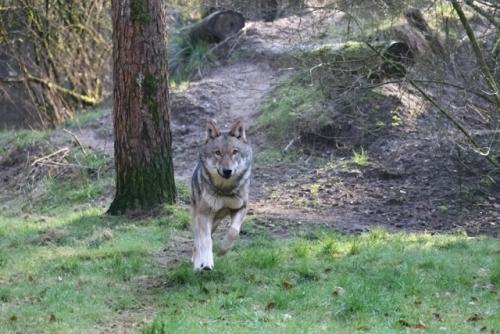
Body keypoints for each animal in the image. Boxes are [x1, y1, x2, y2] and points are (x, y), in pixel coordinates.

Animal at [191, 118, 254, 270]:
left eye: (234, 152)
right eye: (217, 153)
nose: (227, 171)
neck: (225, 190)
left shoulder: (241, 208)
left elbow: (233, 232)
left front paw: (222, 250)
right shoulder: (204, 215)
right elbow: (205, 241)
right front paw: (206, 263)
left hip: (216, 221)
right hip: (199, 217)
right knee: (197, 241)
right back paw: (197, 264)